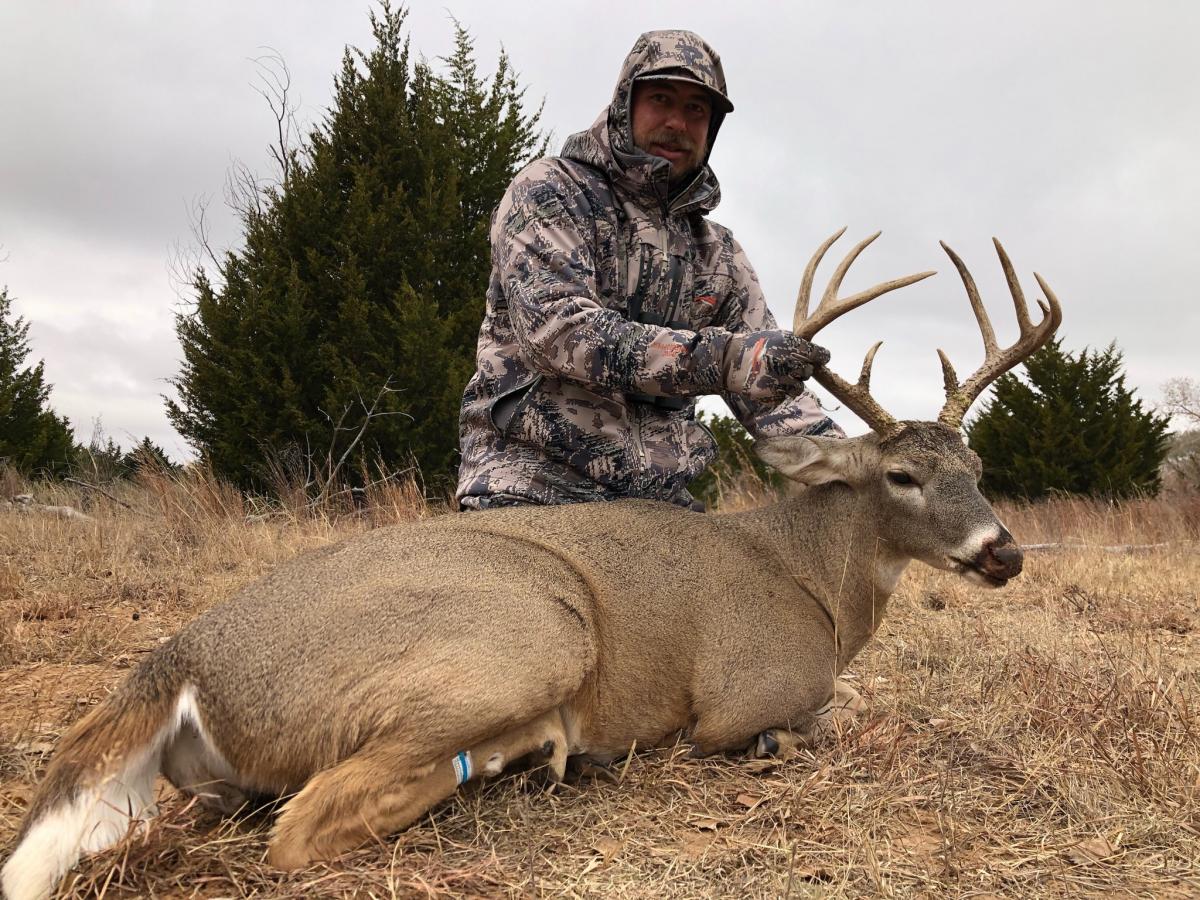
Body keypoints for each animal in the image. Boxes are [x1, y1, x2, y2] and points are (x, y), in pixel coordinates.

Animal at [1, 231, 1061, 900]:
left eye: (977, 470)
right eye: (902, 475)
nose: (1002, 552)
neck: (815, 584)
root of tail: (176, 659)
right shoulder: (741, 691)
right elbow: (821, 717)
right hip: (529, 634)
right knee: (299, 830)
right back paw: (530, 753)